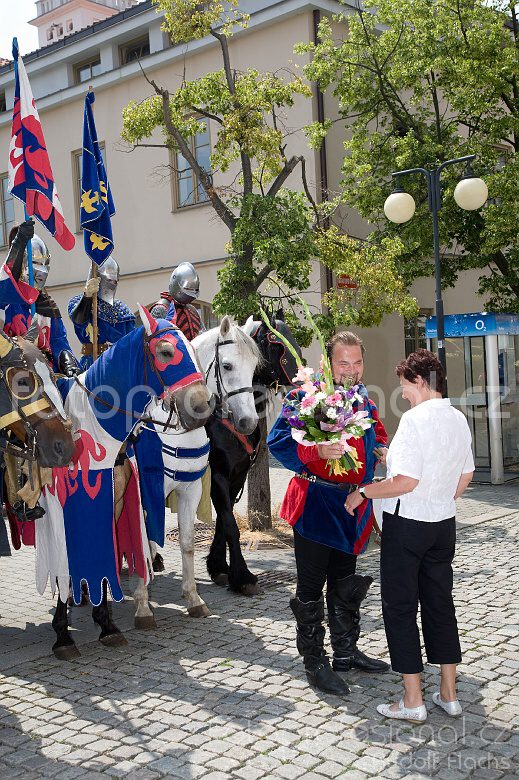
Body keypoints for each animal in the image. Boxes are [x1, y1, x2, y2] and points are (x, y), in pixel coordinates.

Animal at [136, 314, 262, 624]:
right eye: (227, 366)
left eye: (254, 366)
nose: (248, 423)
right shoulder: (216, 475)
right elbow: (229, 524)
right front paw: (242, 576)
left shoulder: (235, 476)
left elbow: (224, 522)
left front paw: (219, 567)